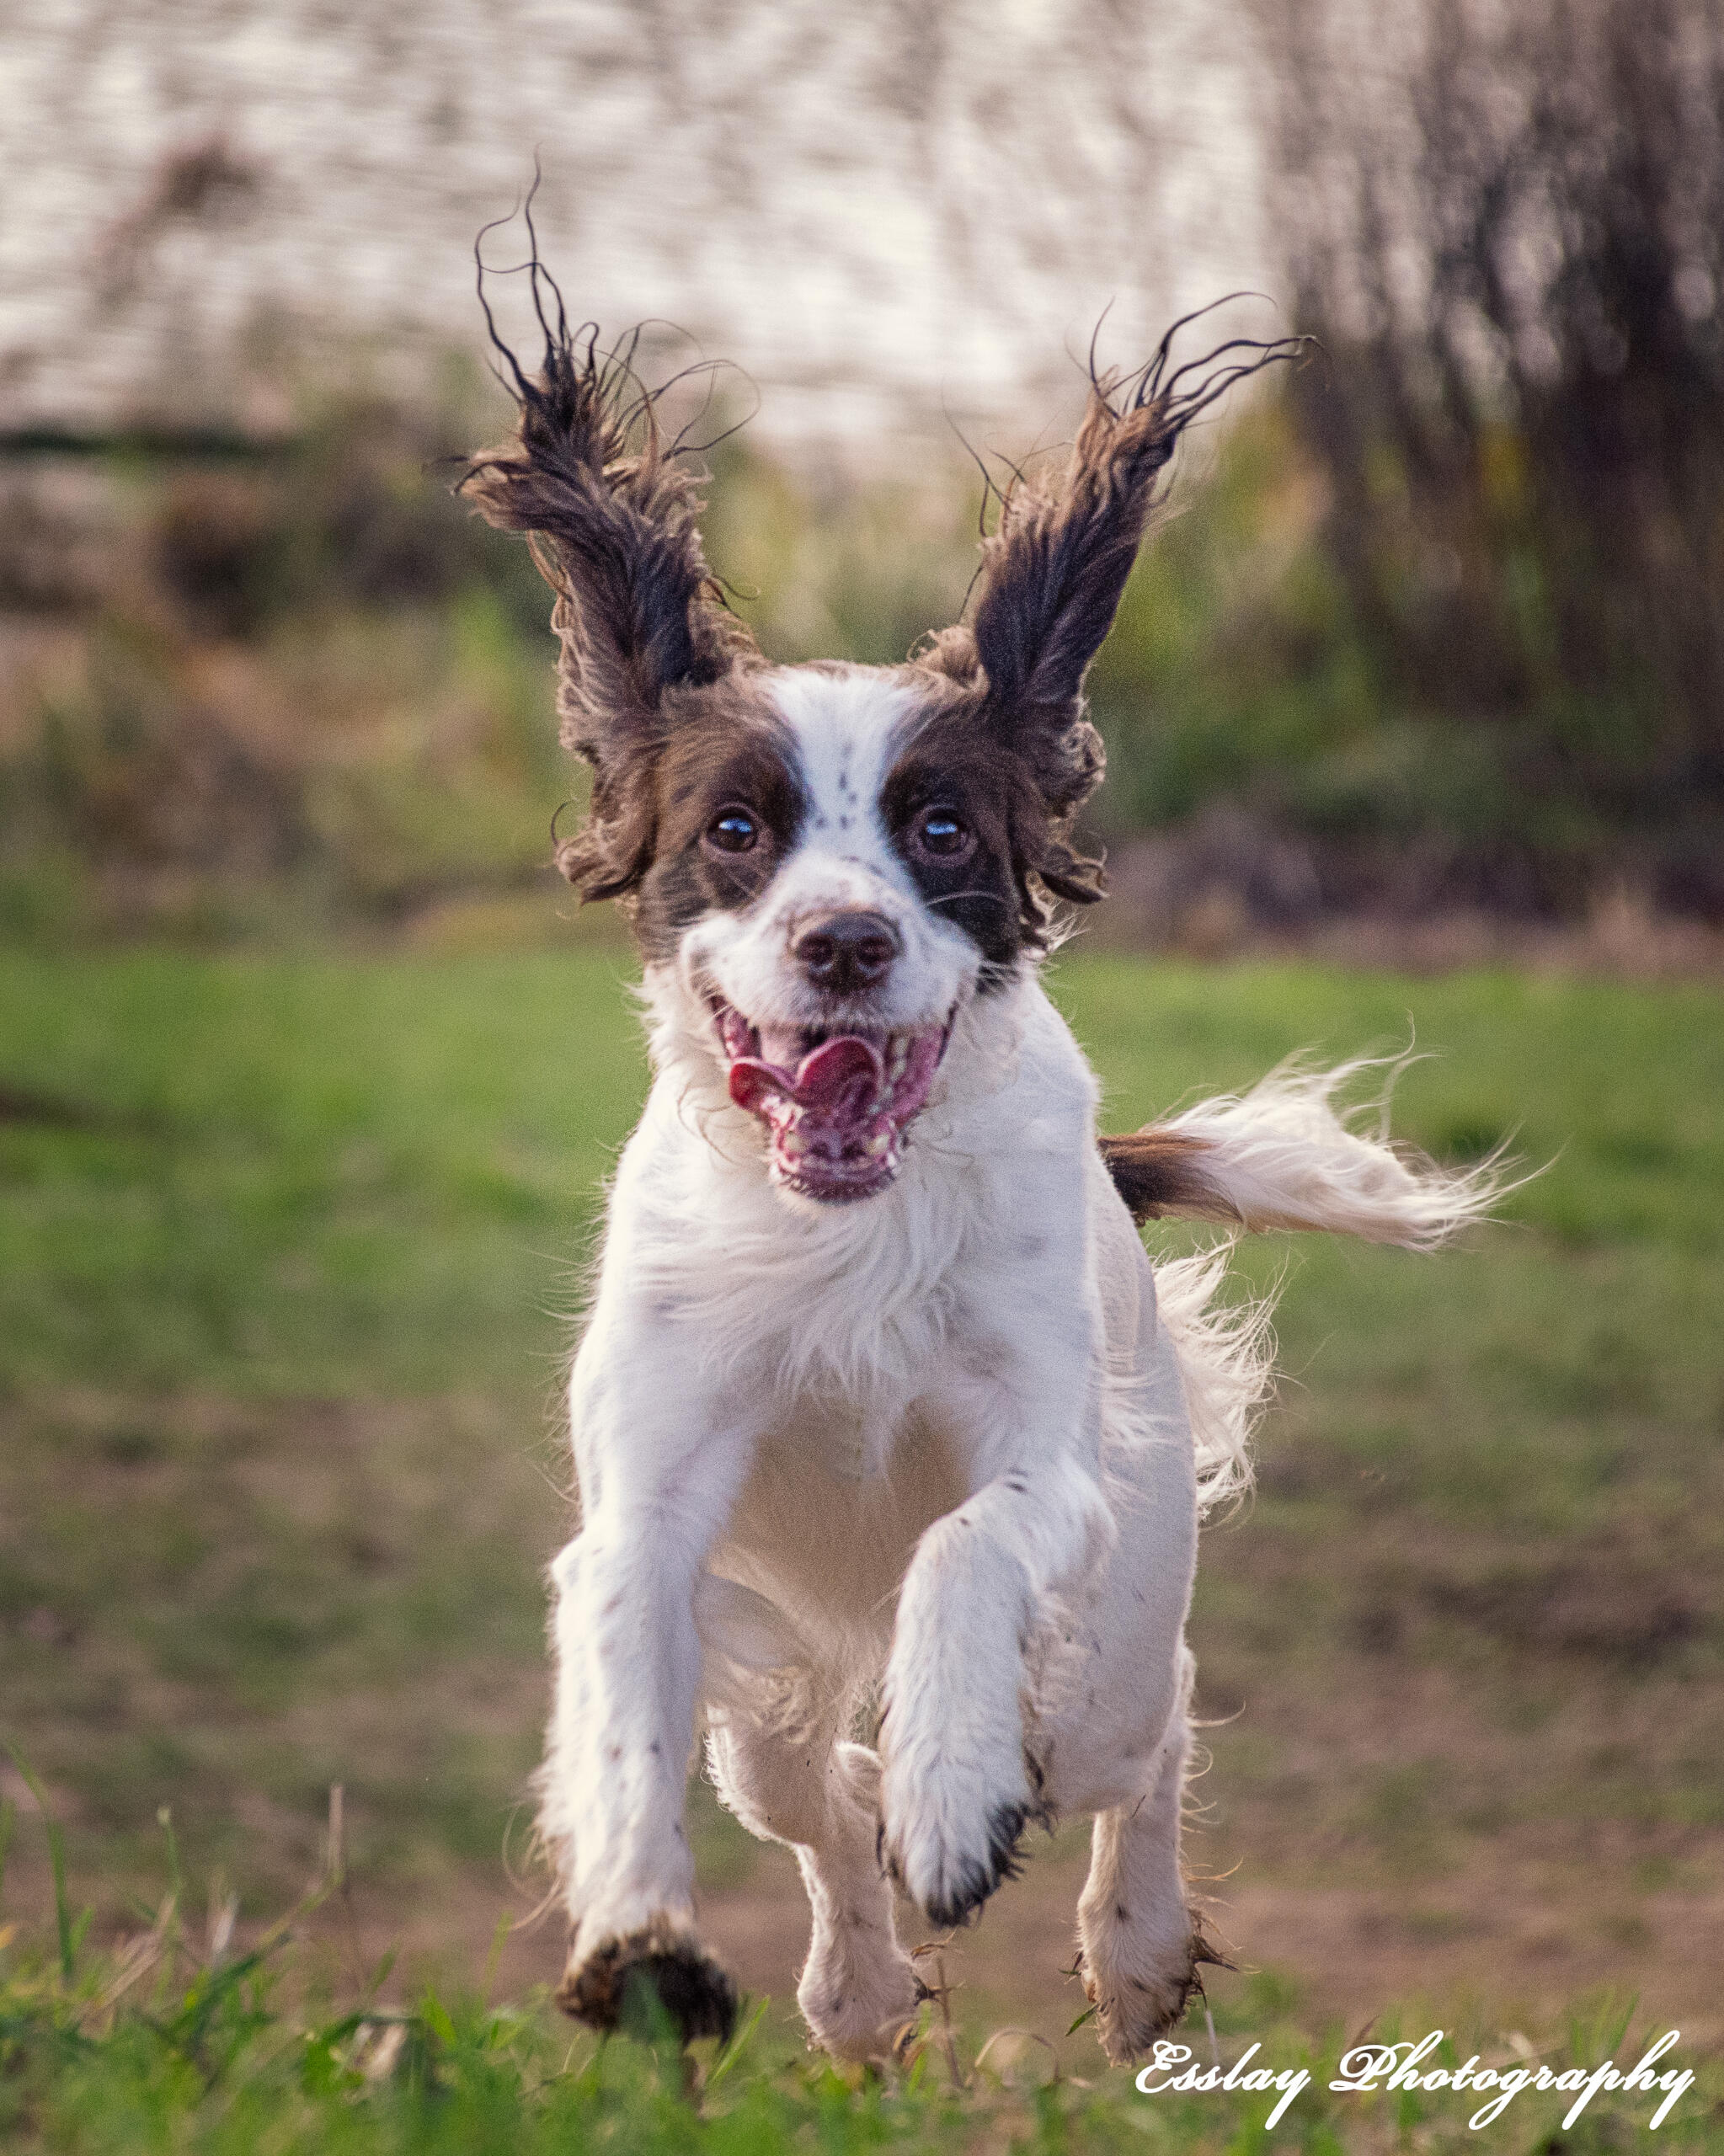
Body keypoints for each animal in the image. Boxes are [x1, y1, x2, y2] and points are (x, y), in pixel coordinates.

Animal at [461, 278, 1491, 2061]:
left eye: (939, 828)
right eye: (735, 828)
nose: (847, 942)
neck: (848, 1230)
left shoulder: (1047, 1469)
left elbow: (961, 1548)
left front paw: (956, 1799)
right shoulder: (649, 1509)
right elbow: (634, 1716)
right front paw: (643, 1947)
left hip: (1119, 1627)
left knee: (1138, 1737)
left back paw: (1126, 1941)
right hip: (784, 1670)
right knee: (805, 1783)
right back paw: (860, 1984)